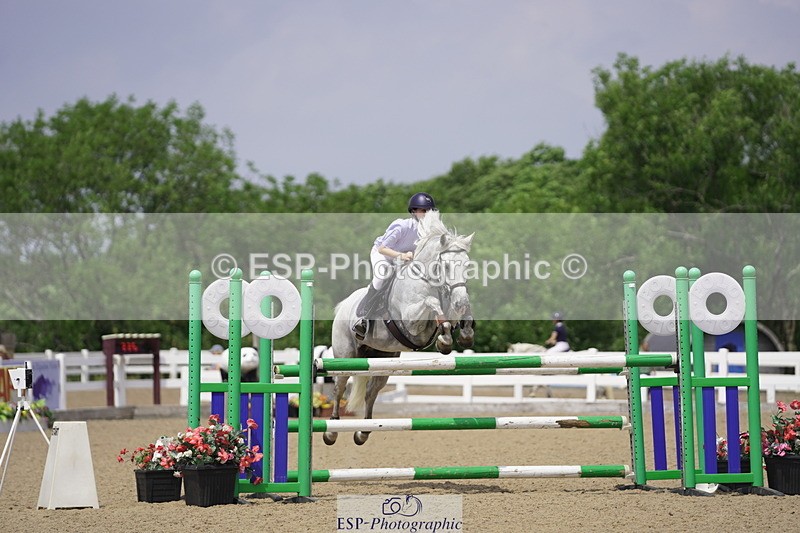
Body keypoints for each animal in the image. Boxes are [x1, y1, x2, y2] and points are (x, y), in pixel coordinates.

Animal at [324, 211, 475, 445]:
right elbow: (431, 304)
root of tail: (343, 306)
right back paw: (331, 431)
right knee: (339, 388)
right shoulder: (412, 321)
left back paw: (363, 431)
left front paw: (461, 335)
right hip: (345, 355)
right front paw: (445, 339)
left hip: (383, 359)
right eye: (447, 266)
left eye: (467, 266)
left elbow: (459, 317)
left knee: (371, 392)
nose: (460, 301)